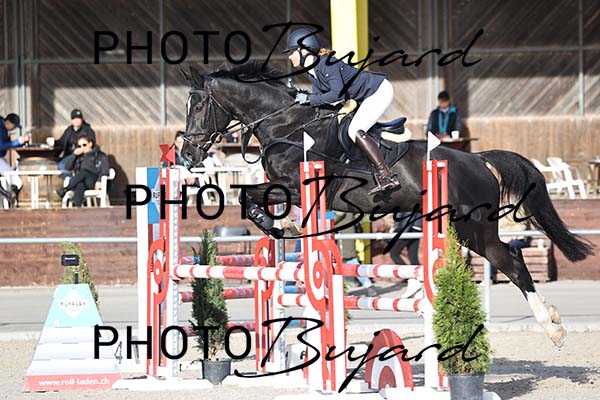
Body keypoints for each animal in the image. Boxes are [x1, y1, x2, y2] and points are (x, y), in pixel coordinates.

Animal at [180, 62, 593, 348]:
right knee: (508, 257)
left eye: (198, 107)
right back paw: (551, 323)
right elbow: (249, 196)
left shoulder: (296, 187)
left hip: (473, 226)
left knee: (511, 261)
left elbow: (249, 196)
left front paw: (282, 226)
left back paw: (553, 329)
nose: (187, 154)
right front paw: (281, 226)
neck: (286, 124)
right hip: (466, 227)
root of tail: (478, 159)